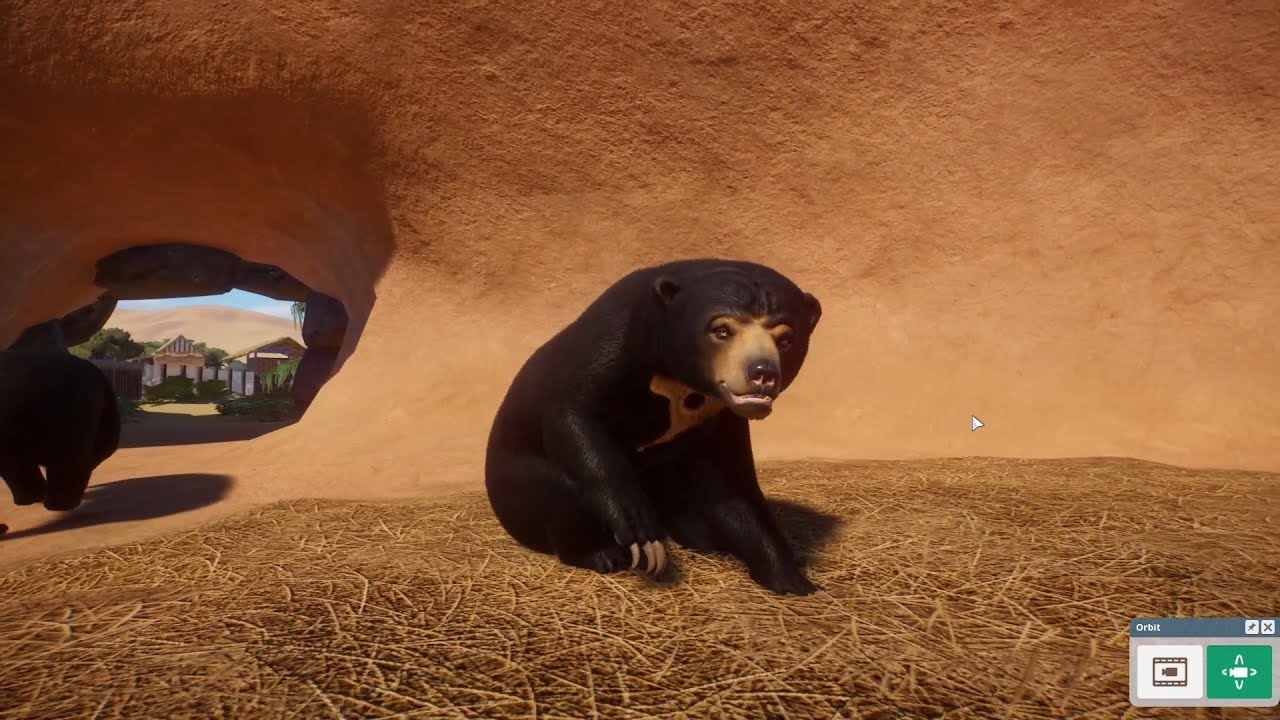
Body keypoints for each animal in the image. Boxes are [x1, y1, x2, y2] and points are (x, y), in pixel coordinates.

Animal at [484, 258, 823, 595]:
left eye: (786, 339)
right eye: (721, 330)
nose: (763, 373)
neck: (682, 384)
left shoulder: (723, 414)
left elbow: (732, 486)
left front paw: (792, 579)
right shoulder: (614, 337)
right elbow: (574, 414)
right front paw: (641, 534)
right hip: (515, 486)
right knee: (558, 489)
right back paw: (604, 554)